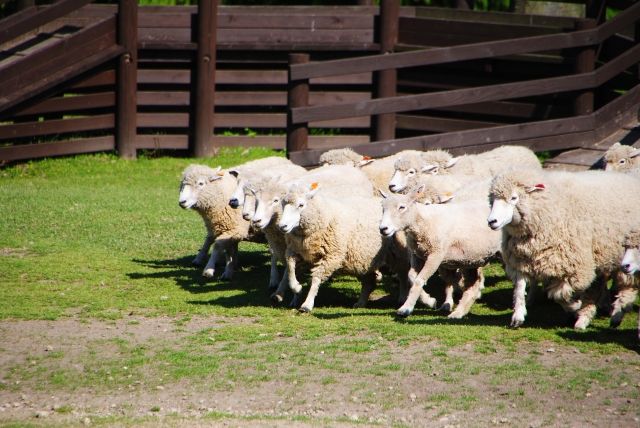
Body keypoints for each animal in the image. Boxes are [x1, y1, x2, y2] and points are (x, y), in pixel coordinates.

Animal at [278, 182, 432, 312]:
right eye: (283, 204)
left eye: (301, 205)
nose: (282, 226)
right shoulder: (296, 252)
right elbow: (290, 269)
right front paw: (297, 288)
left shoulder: (331, 256)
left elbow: (316, 279)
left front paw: (307, 304)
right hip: (362, 258)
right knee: (369, 281)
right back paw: (361, 302)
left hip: (397, 252)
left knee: (403, 273)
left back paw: (404, 298)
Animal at [380, 186, 500, 318]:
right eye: (383, 208)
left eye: (402, 207)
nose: (383, 229)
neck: (425, 222)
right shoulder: (418, 255)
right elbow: (411, 277)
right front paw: (429, 301)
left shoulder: (436, 254)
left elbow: (419, 280)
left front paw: (406, 308)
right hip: (472, 258)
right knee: (473, 285)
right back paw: (458, 312)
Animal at [484, 166, 640, 330]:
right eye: (492, 200)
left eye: (514, 198)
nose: (492, 221)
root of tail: (630, 178)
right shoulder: (521, 261)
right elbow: (520, 289)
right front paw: (518, 316)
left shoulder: (575, 267)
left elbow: (558, 295)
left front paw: (574, 306)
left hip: (623, 259)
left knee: (627, 287)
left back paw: (615, 315)